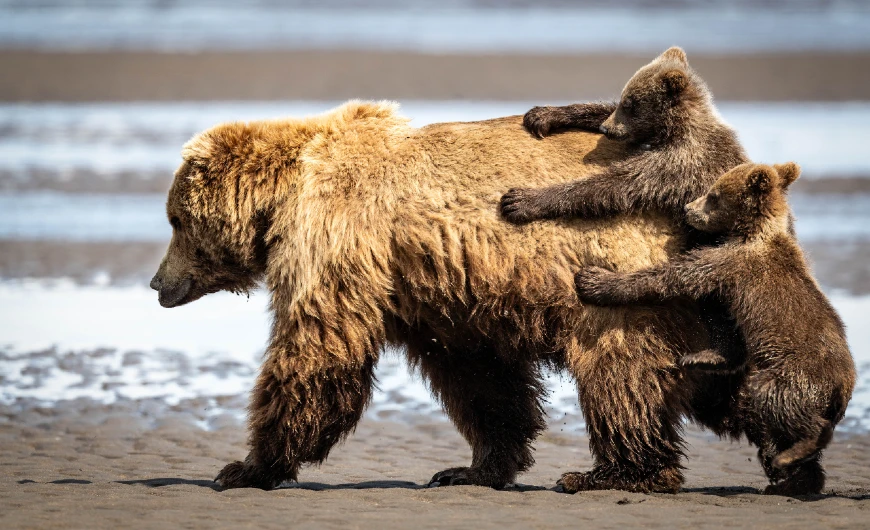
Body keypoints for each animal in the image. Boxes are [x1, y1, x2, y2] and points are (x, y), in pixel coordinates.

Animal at [152, 102, 724, 490]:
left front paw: (246, 466)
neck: (284, 197)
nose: (158, 283)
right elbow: (481, 379)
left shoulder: (336, 240)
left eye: (175, 219)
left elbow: (316, 350)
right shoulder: (441, 296)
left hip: (615, 271)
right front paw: (474, 467)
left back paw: (618, 472)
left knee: (619, 370)